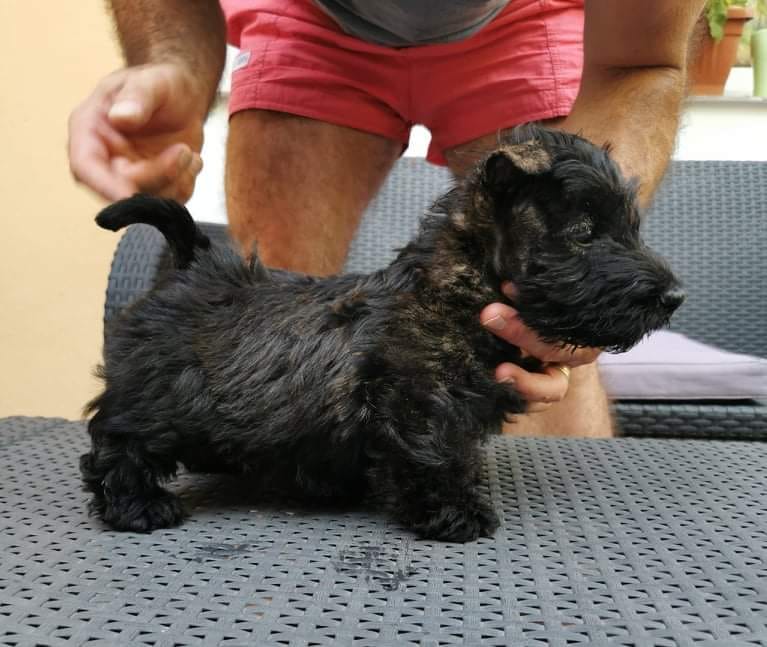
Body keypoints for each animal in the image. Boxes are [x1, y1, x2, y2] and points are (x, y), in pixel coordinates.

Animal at [82, 124, 684, 540]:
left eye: (631, 227)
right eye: (584, 232)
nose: (673, 296)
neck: (456, 290)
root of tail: (188, 268)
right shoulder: (420, 399)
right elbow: (436, 453)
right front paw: (456, 512)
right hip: (151, 398)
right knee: (116, 445)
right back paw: (139, 507)